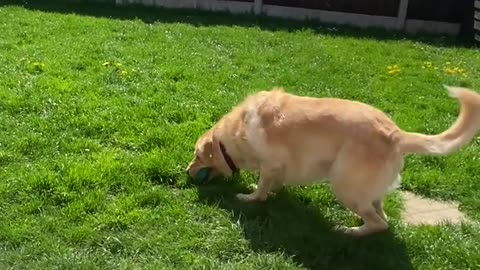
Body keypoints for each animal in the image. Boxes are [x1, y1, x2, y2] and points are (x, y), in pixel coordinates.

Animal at [186, 86, 480, 236]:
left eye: (197, 156)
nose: (187, 172)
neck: (236, 133)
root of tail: (396, 134)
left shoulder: (269, 164)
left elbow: (260, 188)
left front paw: (249, 198)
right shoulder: (278, 168)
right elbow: (274, 184)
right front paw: (273, 194)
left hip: (343, 186)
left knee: (379, 223)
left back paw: (348, 230)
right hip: (366, 191)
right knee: (382, 215)